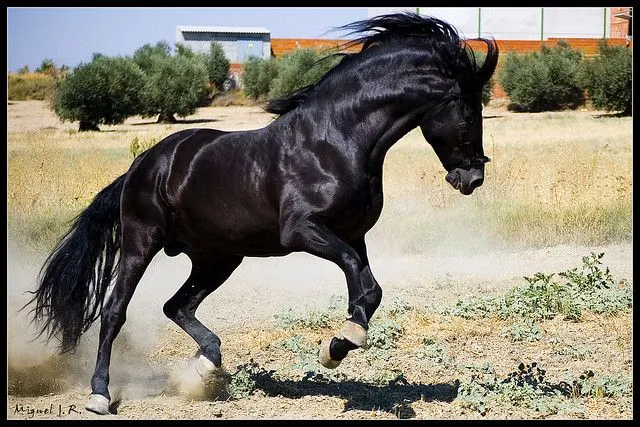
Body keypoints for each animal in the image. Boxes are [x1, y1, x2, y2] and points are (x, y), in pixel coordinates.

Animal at [26, 12, 498, 415]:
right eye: (469, 113)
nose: (473, 178)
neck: (337, 141)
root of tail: (143, 165)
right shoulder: (303, 231)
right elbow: (356, 279)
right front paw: (345, 339)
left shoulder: (354, 234)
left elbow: (370, 291)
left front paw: (336, 347)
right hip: (142, 244)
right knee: (114, 312)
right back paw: (101, 395)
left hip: (218, 258)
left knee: (176, 306)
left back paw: (206, 365)